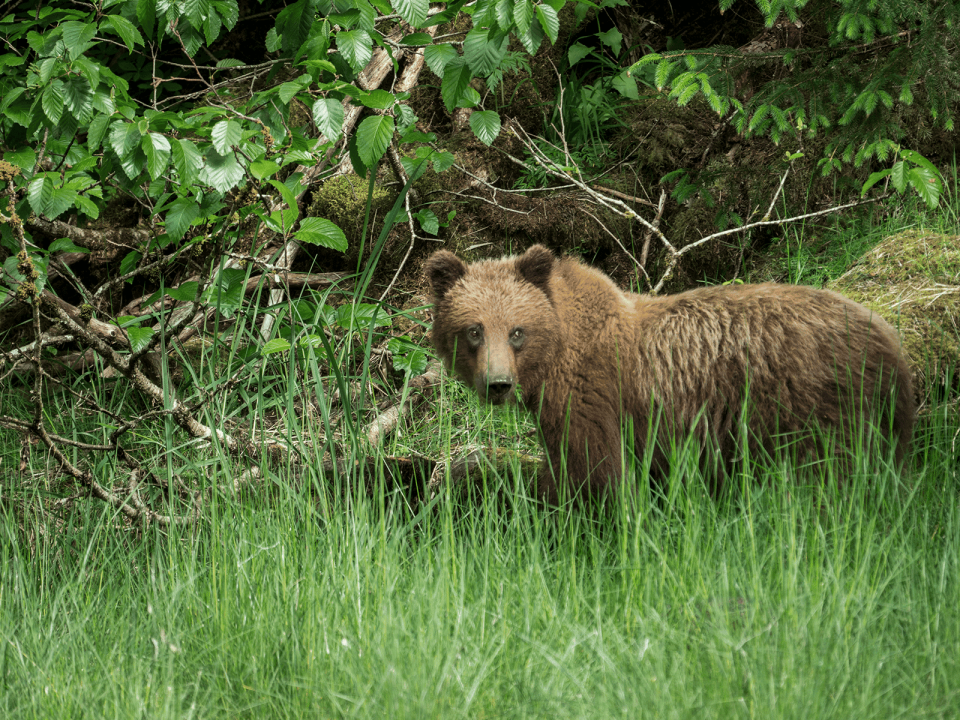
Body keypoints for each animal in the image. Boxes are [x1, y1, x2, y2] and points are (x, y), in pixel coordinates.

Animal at [426, 243, 916, 500]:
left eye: (517, 331)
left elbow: (594, 475)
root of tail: (889, 338)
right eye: (473, 330)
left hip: (816, 406)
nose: (498, 384)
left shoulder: (593, 396)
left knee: (832, 476)